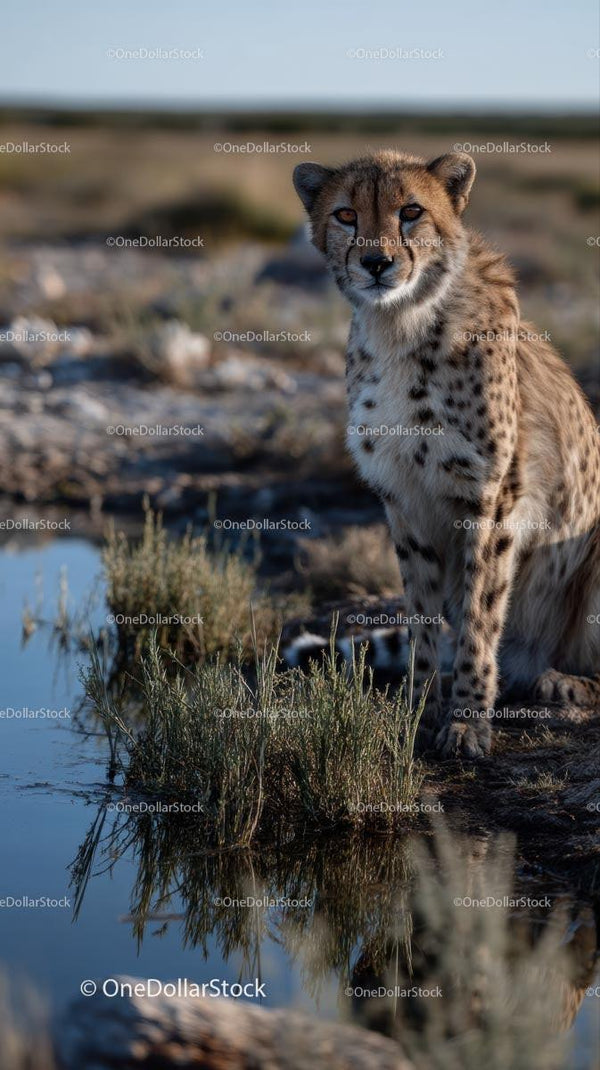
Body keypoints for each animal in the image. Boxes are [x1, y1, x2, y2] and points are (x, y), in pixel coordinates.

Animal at [293, 150, 600, 758]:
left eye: (411, 211)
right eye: (345, 214)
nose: (377, 262)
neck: (400, 324)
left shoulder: (492, 498)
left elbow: (481, 610)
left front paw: (467, 721)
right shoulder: (404, 499)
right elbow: (423, 612)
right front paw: (421, 709)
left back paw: (565, 681)